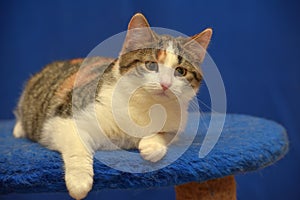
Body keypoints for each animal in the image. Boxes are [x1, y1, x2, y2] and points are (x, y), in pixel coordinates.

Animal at [12, 13, 212, 199]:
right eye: (151, 65)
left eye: (180, 71)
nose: (165, 84)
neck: (146, 106)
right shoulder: (63, 119)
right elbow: (76, 144)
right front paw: (79, 180)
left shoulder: (176, 121)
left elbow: (166, 134)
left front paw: (152, 146)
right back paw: (19, 129)